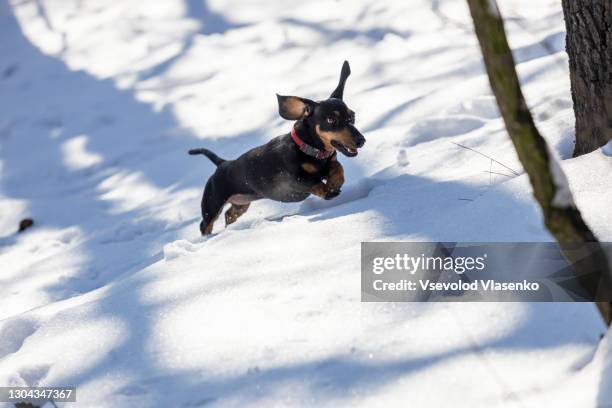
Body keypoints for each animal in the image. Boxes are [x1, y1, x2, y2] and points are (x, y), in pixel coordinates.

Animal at [189, 59, 366, 234]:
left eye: (352, 116)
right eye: (330, 120)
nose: (361, 140)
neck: (309, 150)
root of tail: (222, 163)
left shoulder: (330, 161)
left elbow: (338, 167)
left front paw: (335, 181)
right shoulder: (292, 180)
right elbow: (312, 182)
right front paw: (328, 191)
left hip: (242, 203)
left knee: (229, 214)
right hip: (212, 204)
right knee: (205, 225)